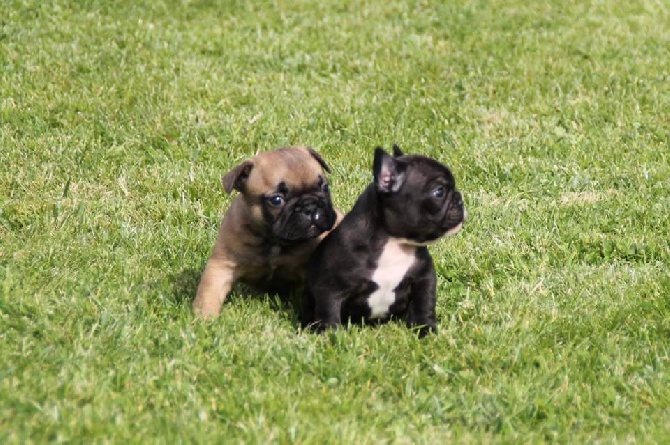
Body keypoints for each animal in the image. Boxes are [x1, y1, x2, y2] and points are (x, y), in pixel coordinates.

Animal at [304, 146, 468, 336]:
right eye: (439, 192)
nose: (460, 198)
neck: (394, 243)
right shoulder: (331, 288)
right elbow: (328, 312)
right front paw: (329, 334)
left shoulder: (423, 279)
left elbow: (424, 304)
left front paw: (425, 329)